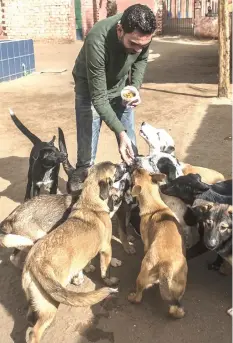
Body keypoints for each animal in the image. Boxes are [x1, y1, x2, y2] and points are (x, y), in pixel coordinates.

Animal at [21, 162, 127, 343]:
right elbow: (105, 270)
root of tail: (34, 262)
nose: (125, 164)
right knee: (34, 333)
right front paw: (108, 280)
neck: (89, 203)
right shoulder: (106, 247)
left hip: (35, 302)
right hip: (50, 304)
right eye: (115, 169)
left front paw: (84, 271)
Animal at [127, 169, 187, 320]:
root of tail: (166, 266)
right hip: (179, 286)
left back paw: (132, 297)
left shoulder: (145, 242)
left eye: (134, 176)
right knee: (175, 306)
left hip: (142, 277)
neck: (156, 207)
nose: (134, 166)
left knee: (139, 297)